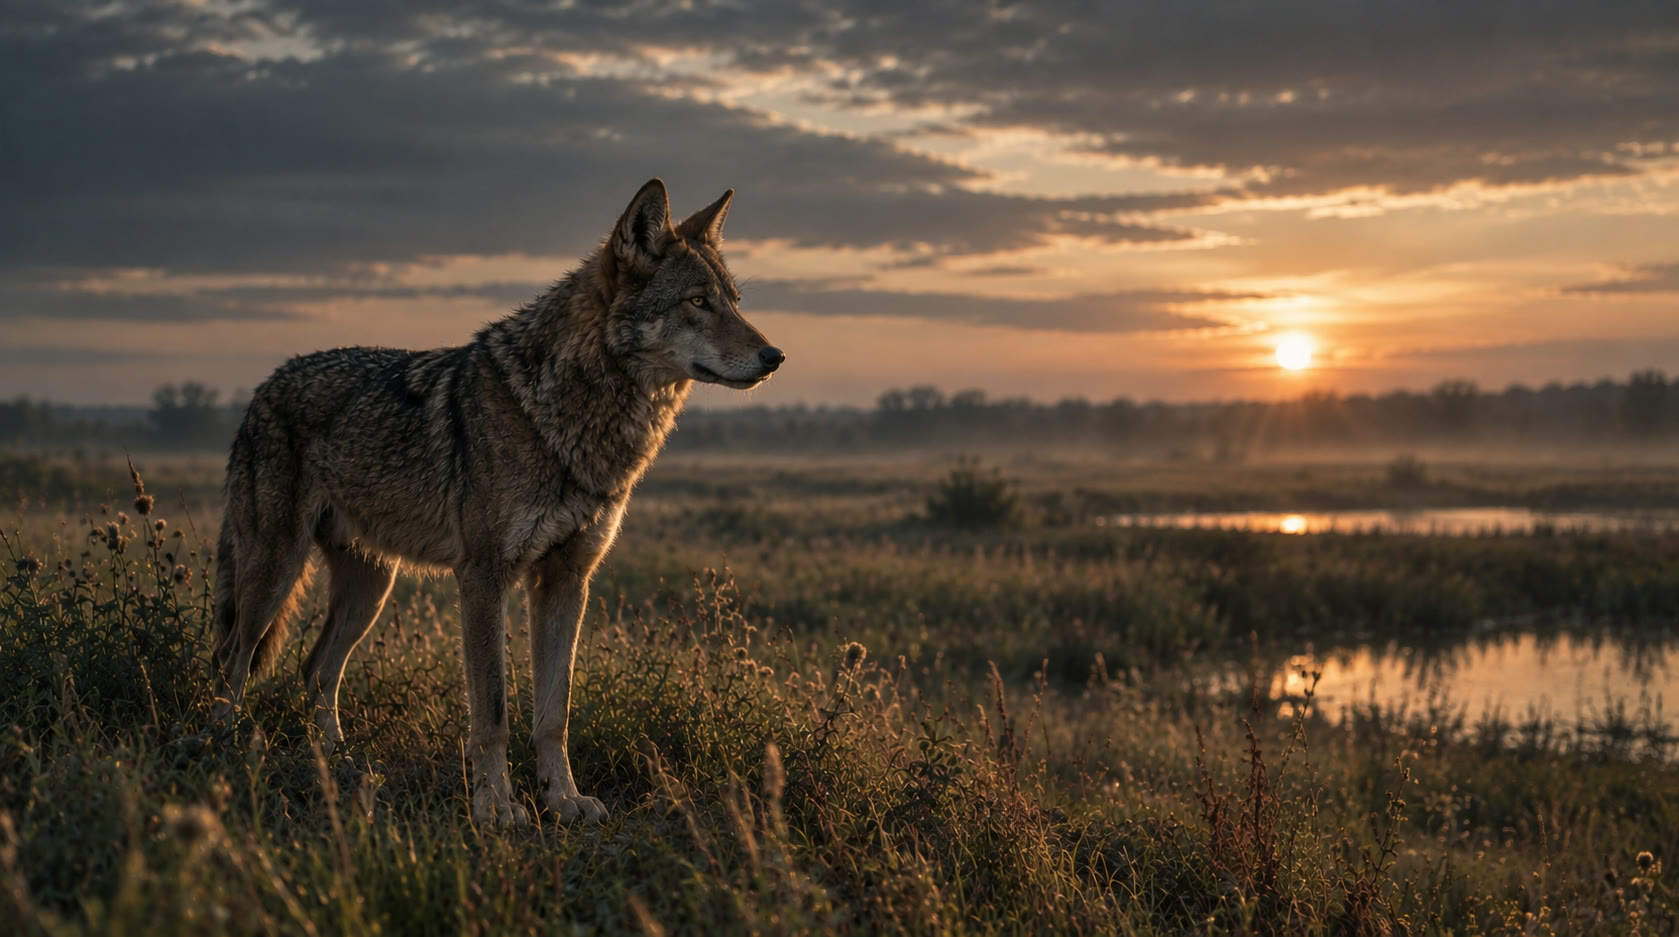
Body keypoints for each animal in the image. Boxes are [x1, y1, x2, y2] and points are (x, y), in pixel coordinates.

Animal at [210, 179, 782, 826]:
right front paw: (496, 807)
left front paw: (563, 799)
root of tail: (263, 388)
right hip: (274, 574)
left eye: (734, 301)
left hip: (370, 590)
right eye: (697, 302)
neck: (571, 420)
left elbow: (553, 712)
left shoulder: (567, 580)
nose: (775, 357)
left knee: (315, 670)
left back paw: (341, 761)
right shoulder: (483, 578)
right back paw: (223, 744)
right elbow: (492, 713)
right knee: (233, 659)